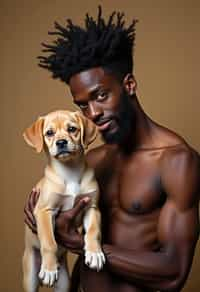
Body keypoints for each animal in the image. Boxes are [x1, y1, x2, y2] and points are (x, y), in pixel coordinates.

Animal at [22, 110, 105, 292]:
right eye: (49, 133)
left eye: (72, 129)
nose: (61, 142)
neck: (70, 172)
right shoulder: (44, 211)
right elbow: (49, 242)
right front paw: (49, 268)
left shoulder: (91, 207)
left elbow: (93, 232)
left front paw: (95, 253)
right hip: (30, 276)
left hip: (64, 283)